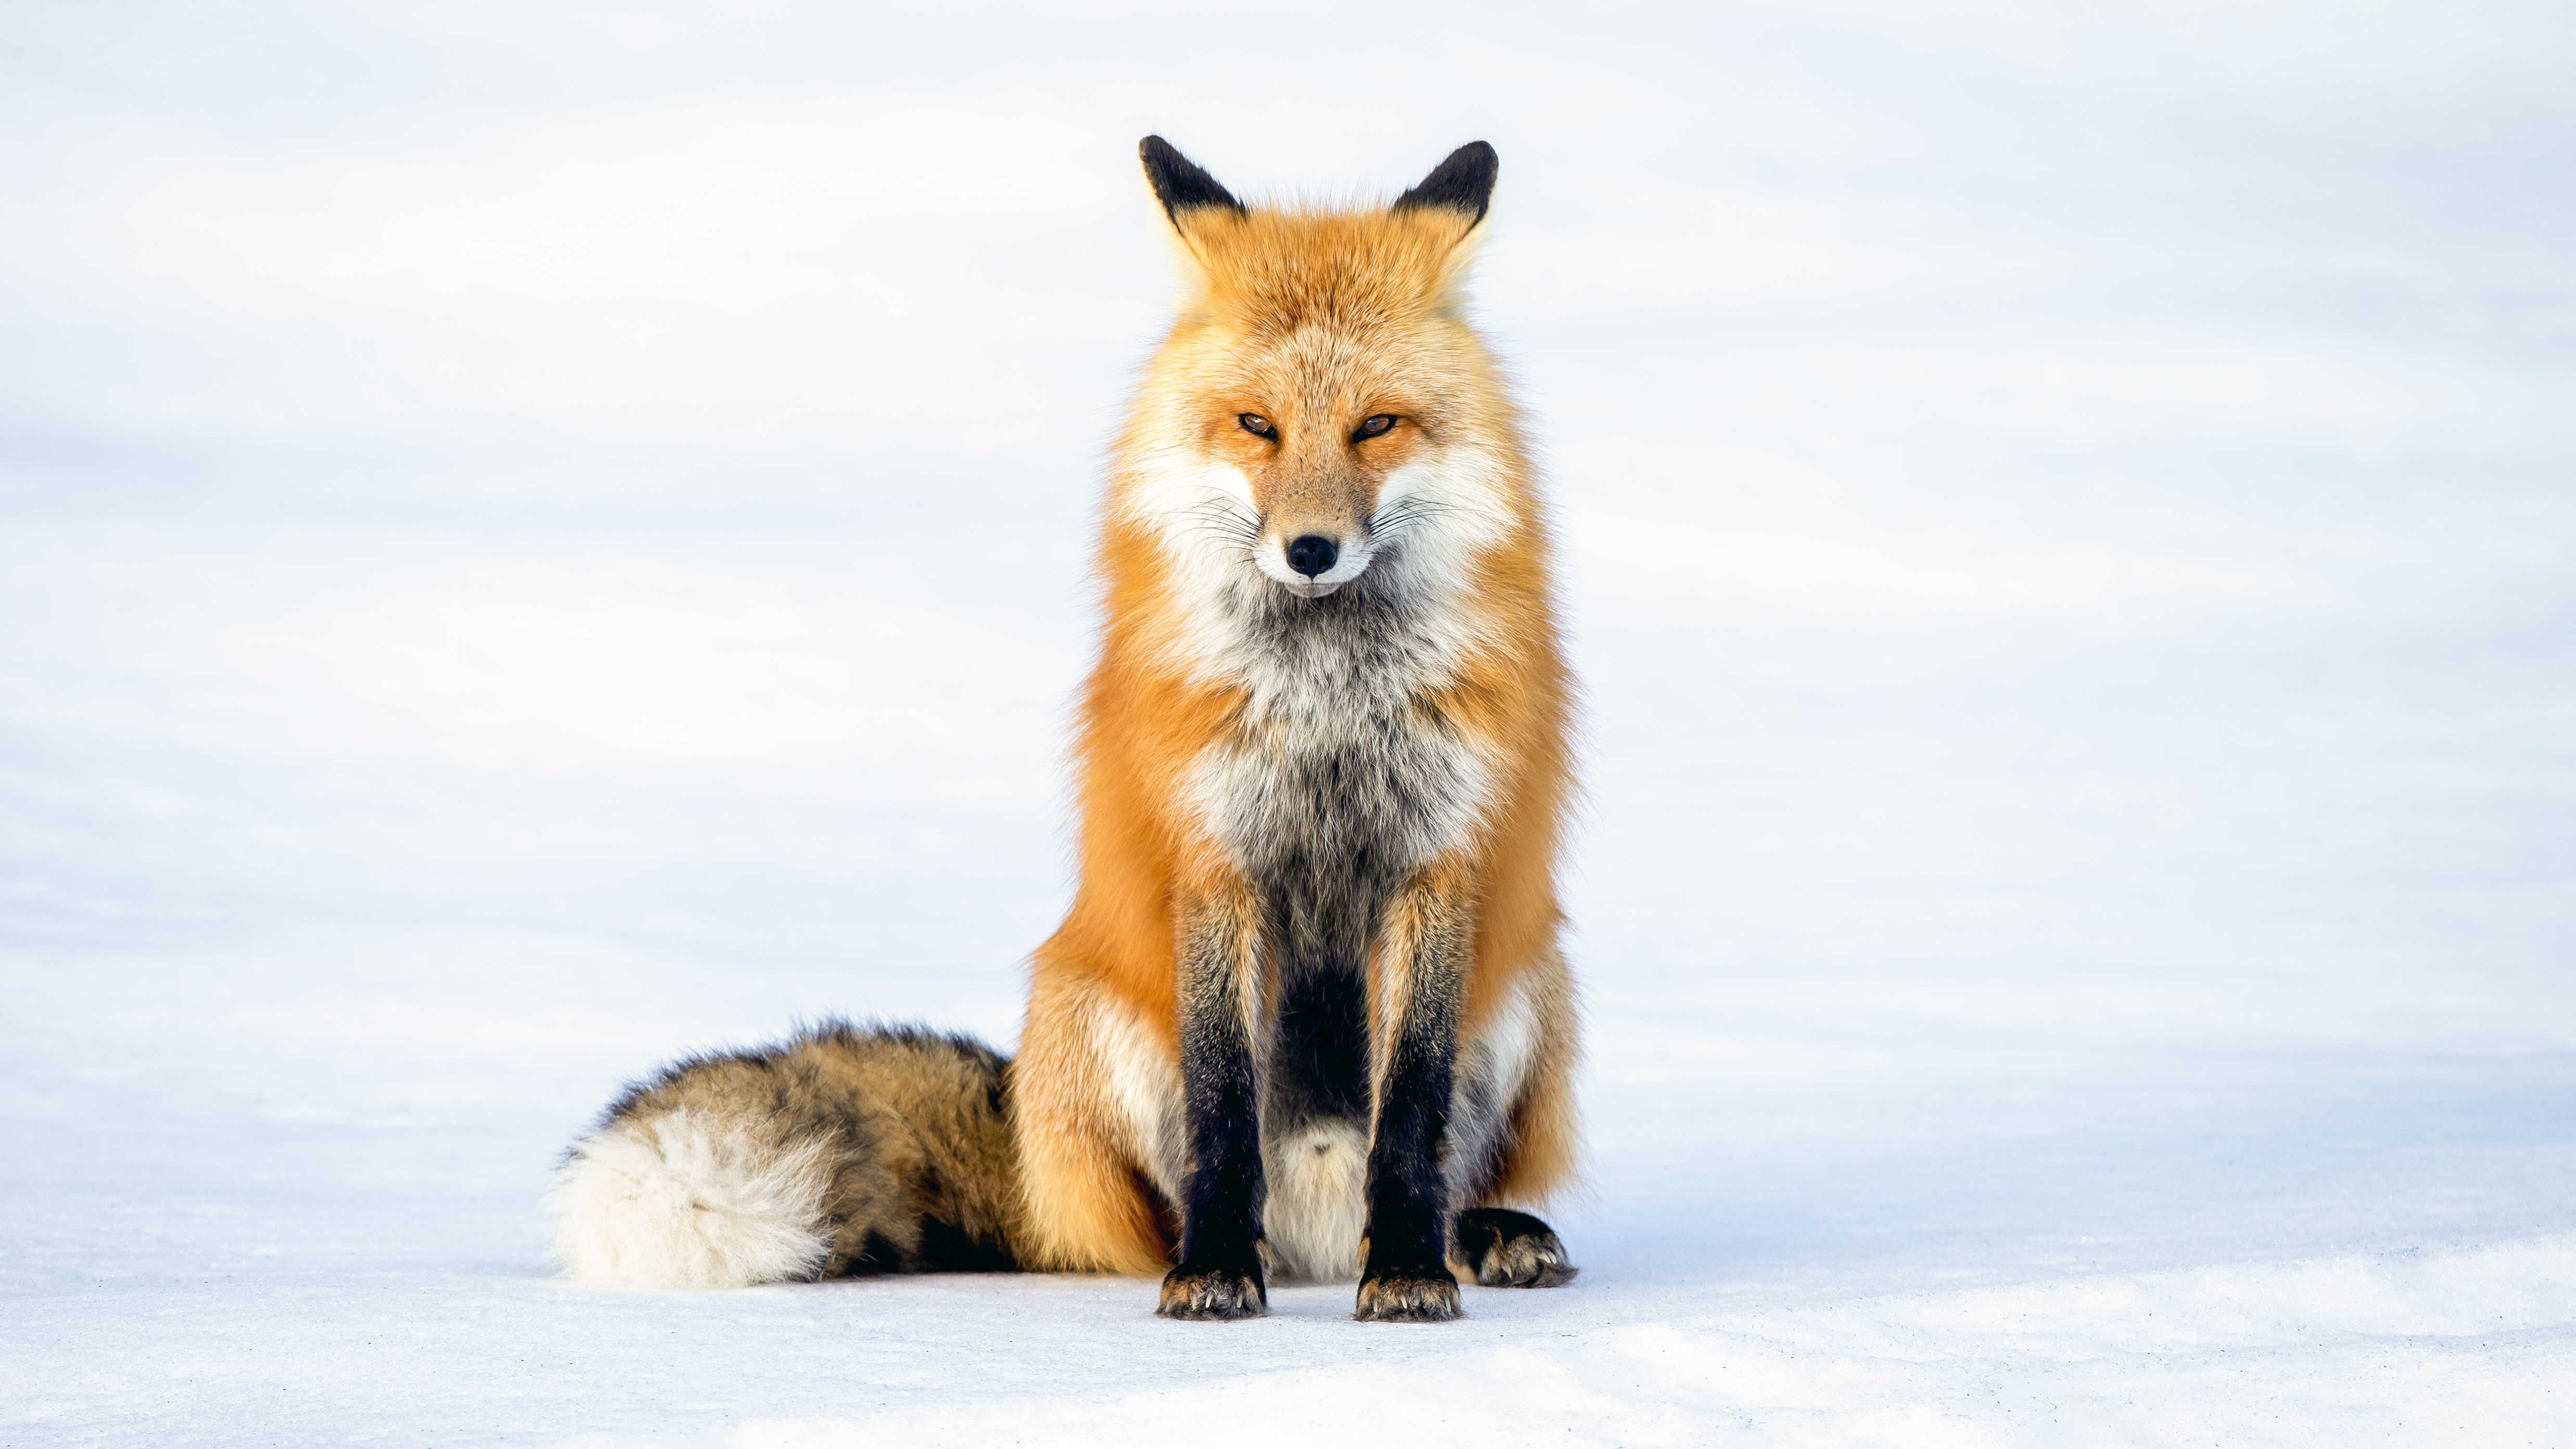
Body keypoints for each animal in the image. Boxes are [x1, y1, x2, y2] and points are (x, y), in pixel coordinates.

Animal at [548, 137, 1581, 1323]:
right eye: (1257, 425)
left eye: (1377, 424)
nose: (1310, 550)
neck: (1329, 698)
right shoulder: (1211, 860)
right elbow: (1224, 1110)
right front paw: (1215, 1270)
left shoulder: (1439, 861)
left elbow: (1410, 1109)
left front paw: (1408, 1267)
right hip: (1086, 1012)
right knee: (1147, 1215)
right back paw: (1234, 1251)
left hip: (1535, 982)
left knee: (1444, 1164)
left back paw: (1478, 1235)